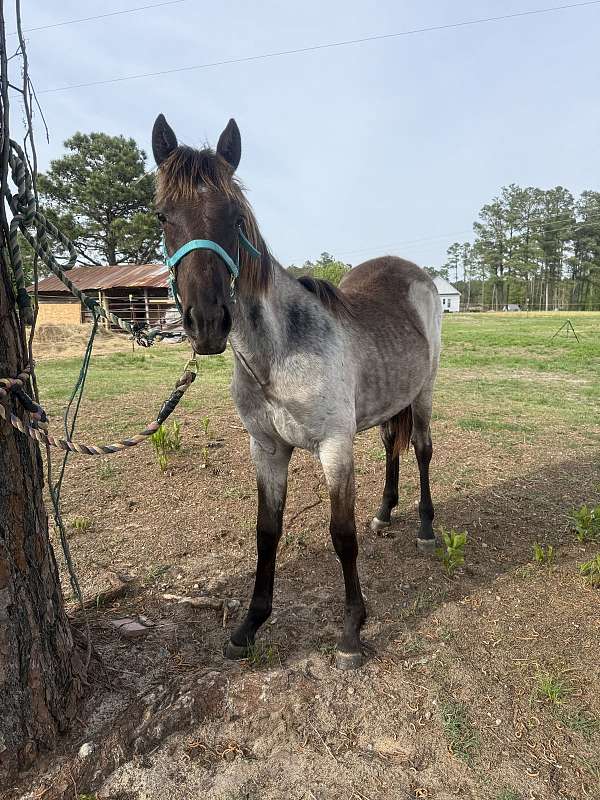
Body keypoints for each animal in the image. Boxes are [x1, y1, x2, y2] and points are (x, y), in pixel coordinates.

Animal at [152, 114, 442, 669]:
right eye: (163, 217)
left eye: (235, 219)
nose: (207, 323)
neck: (277, 353)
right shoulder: (267, 449)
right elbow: (267, 533)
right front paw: (248, 625)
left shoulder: (334, 447)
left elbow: (341, 535)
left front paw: (351, 632)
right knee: (391, 449)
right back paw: (385, 512)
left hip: (424, 393)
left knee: (420, 449)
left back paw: (425, 528)